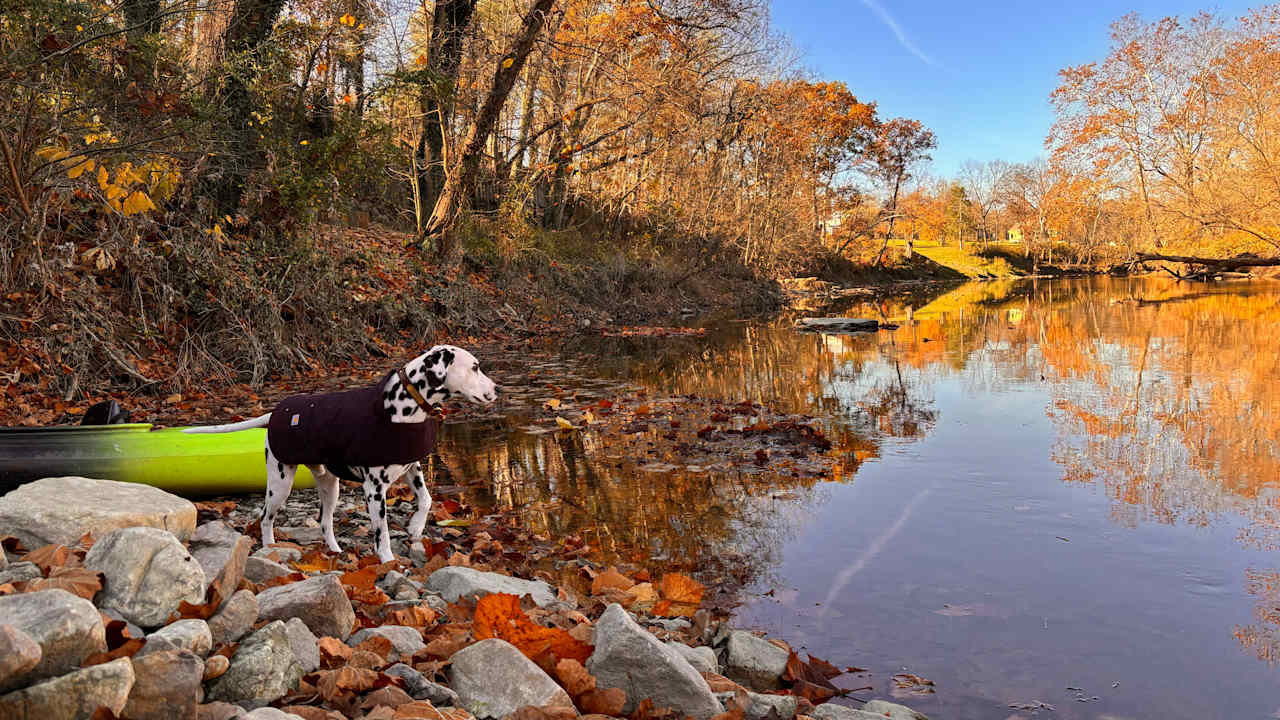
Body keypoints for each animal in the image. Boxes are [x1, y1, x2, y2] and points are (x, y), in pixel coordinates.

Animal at [185, 345, 494, 561]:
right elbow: (381, 533)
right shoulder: (374, 490)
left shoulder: (412, 468)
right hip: (280, 484)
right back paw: (270, 547)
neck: (403, 405)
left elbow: (427, 500)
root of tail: (275, 413)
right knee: (265, 517)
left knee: (324, 522)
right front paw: (388, 560)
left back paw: (334, 550)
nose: (497, 388)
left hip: (330, 486)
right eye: (475, 367)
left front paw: (416, 528)